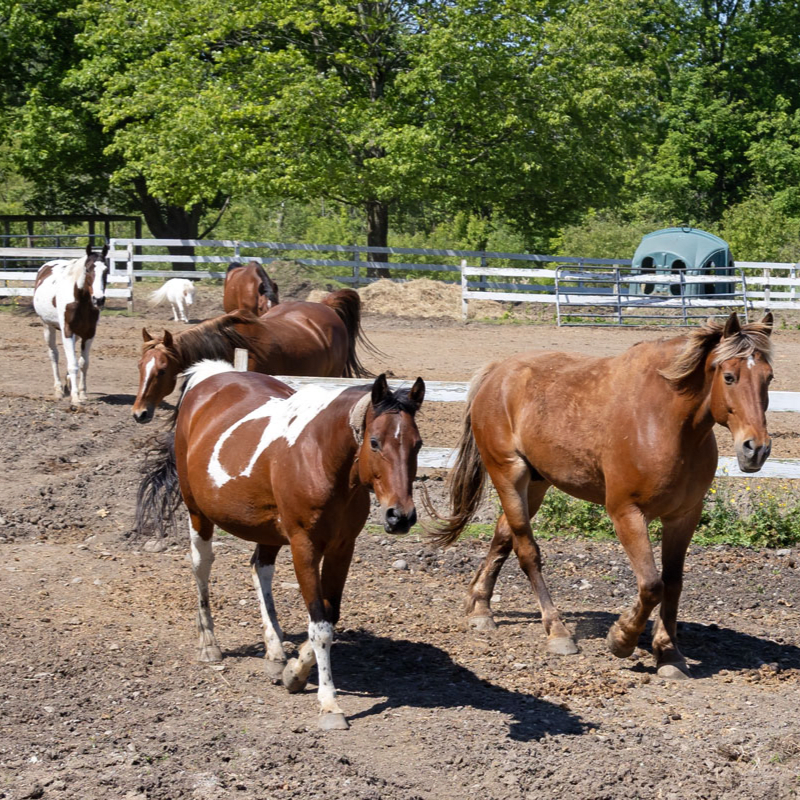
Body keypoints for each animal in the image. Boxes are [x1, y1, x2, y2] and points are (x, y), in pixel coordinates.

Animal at [32, 244, 109, 405]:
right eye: (88, 269)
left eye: (106, 270)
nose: (98, 299)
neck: (80, 300)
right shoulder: (67, 331)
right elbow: (73, 364)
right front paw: (75, 397)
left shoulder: (89, 333)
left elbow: (83, 363)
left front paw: (82, 393)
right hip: (48, 327)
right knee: (53, 355)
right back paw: (59, 390)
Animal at [135, 361, 425, 729]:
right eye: (374, 442)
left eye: (418, 444)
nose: (400, 516)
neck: (321, 458)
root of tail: (210, 374)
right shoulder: (304, 547)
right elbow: (320, 626)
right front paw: (329, 704)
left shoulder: (342, 548)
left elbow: (330, 616)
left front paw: (293, 672)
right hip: (198, 514)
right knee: (202, 568)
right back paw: (209, 644)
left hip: (267, 531)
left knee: (260, 569)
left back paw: (274, 653)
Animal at [432, 312, 774, 679]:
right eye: (729, 376)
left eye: (769, 377)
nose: (756, 449)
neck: (665, 422)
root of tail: (497, 371)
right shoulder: (626, 512)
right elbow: (651, 585)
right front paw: (621, 638)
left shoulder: (683, 516)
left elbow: (673, 583)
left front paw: (669, 654)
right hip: (509, 475)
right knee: (526, 551)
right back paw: (557, 632)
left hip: (536, 484)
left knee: (502, 536)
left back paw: (480, 609)